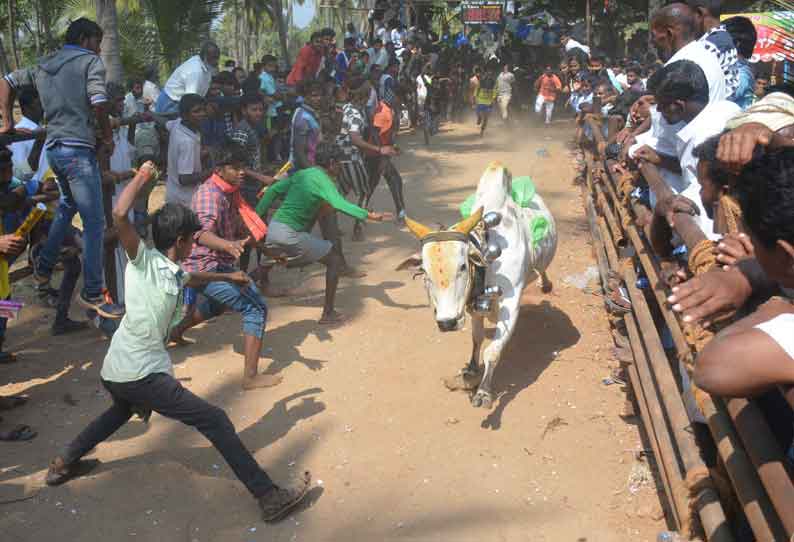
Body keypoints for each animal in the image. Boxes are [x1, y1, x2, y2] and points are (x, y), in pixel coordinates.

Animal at [396, 164, 556, 410]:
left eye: (463, 266)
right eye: (424, 272)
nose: (447, 323)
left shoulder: (511, 302)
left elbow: (492, 351)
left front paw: (483, 392)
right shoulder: (474, 306)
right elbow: (477, 339)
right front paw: (471, 370)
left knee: (541, 268)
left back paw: (545, 283)